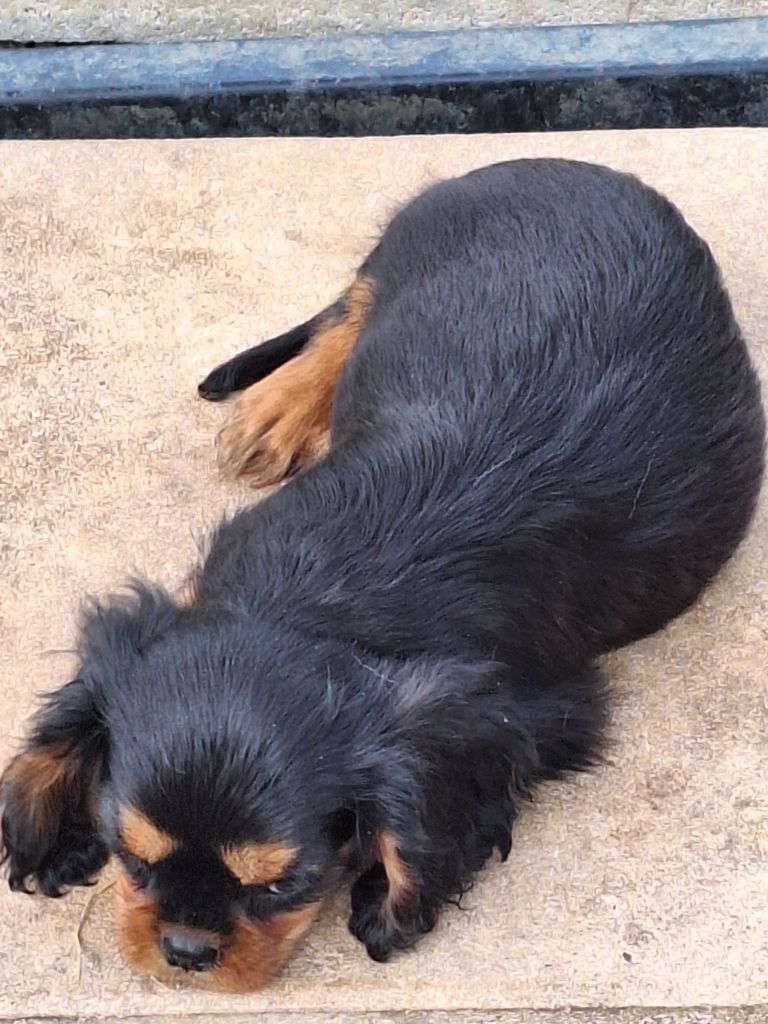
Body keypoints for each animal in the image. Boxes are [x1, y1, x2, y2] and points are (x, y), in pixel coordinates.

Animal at [1, 159, 764, 992]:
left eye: (286, 885)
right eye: (131, 859)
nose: (184, 952)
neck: (308, 602)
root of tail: (566, 164)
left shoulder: (531, 711)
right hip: (395, 260)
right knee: (346, 315)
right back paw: (278, 407)